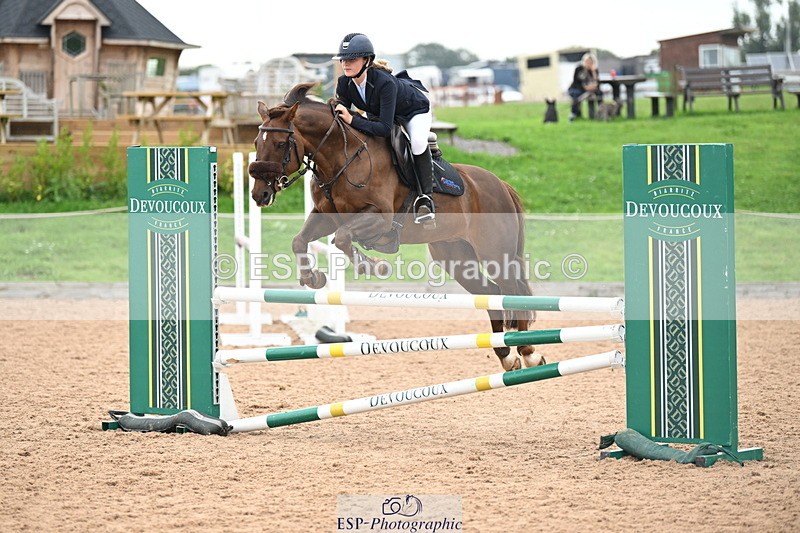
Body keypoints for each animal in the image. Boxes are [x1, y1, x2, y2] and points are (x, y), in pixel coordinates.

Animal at [249, 82, 542, 371]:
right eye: (255, 143)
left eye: (280, 143)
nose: (259, 194)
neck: (342, 157)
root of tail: (500, 184)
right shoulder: (325, 216)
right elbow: (300, 240)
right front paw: (313, 277)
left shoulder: (379, 217)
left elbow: (342, 238)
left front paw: (373, 266)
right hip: (455, 257)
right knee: (492, 294)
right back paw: (506, 355)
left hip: (494, 253)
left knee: (512, 291)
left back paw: (528, 352)